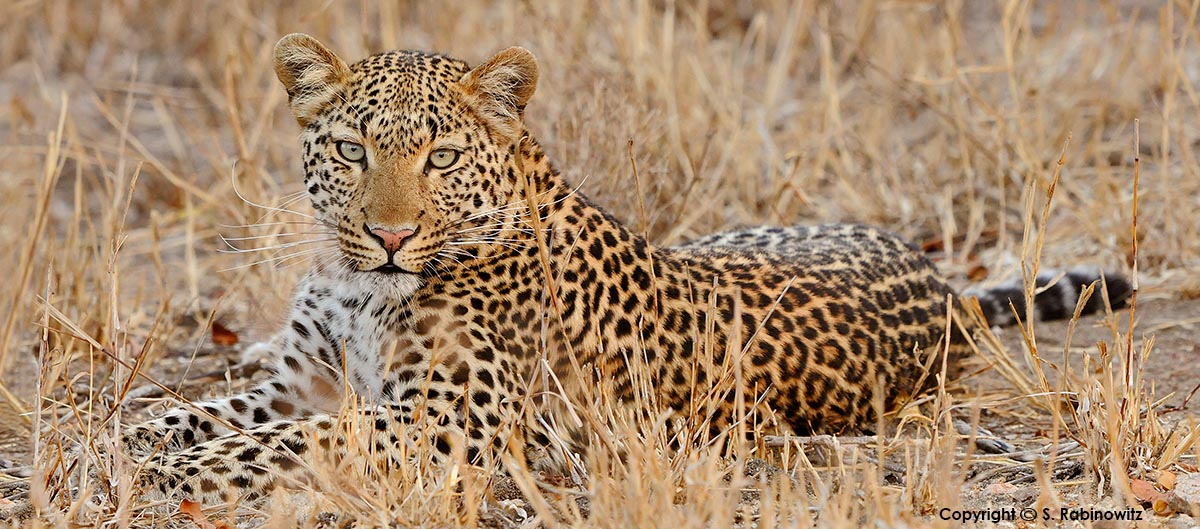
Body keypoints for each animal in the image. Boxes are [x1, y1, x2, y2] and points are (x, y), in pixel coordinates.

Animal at [114, 33, 1131, 505]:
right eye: (353, 150)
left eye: (441, 157)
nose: (391, 235)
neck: (363, 288)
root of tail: (939, 284)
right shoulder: (301, 379)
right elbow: (204, 413)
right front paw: (129, 441)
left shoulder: (448, 424)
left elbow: (288, 442)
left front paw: (180, 470)